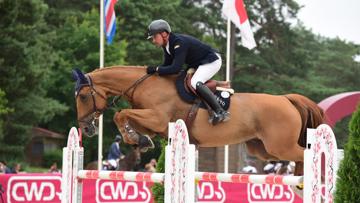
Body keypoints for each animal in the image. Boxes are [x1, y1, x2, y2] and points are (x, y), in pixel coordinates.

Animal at [72, 66, 324, 175]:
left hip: (280, 146)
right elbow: (125, 118)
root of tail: (286, 99)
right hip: (263, 149)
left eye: (83, 96)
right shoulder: (154, 125)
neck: (143, 85)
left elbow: (120, 114)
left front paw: (136, 139)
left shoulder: (158, 119)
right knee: (296, 159)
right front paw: (139, 140)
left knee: (306, 155)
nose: (86, 128)